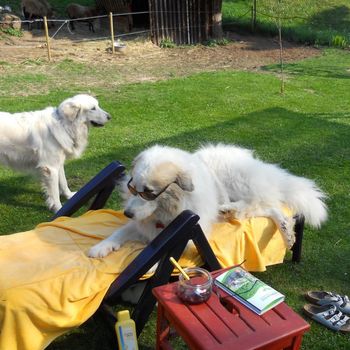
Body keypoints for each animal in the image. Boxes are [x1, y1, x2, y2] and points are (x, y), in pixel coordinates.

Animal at [88, 142, 328, 258]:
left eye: (148, 192)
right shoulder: (142, 224)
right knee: (269, 209)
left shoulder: (191, 229)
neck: (169, 208)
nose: (127, 213)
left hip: (238, 183)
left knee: (265, 204)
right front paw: (101, 247)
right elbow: (119, 232)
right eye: (132, 188)